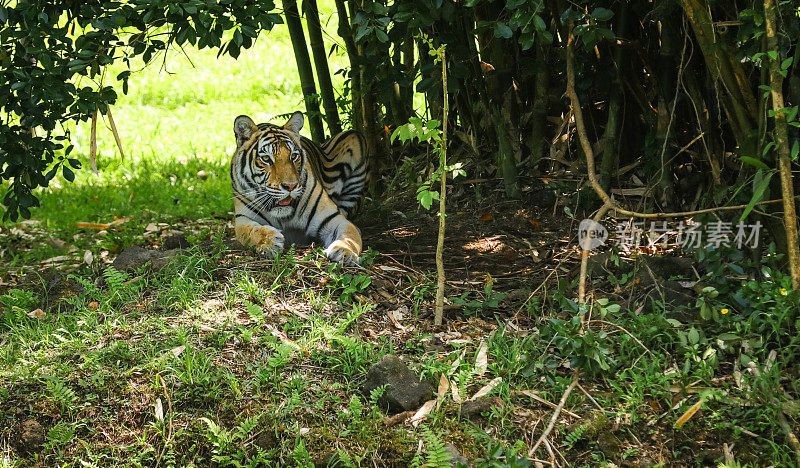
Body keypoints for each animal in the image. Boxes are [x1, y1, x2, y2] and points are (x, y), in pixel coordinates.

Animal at [231, 112, 368, 266]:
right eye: (266, 159)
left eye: (294, 156)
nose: (290, 186)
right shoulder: (243, 219)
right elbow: (250, 232)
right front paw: (270, 241)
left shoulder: (333, 218)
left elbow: (349, 235)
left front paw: (345, 252)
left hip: (354, 137)